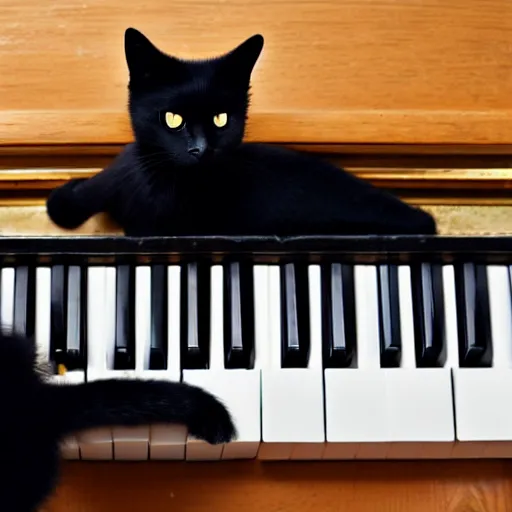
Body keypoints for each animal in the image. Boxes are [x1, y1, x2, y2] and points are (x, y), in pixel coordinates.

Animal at [46, 28, 436, 236]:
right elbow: (101, 182)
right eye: (172, 119)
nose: (201, 149)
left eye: (221, 119)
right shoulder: (130, 165)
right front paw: (68, 195)